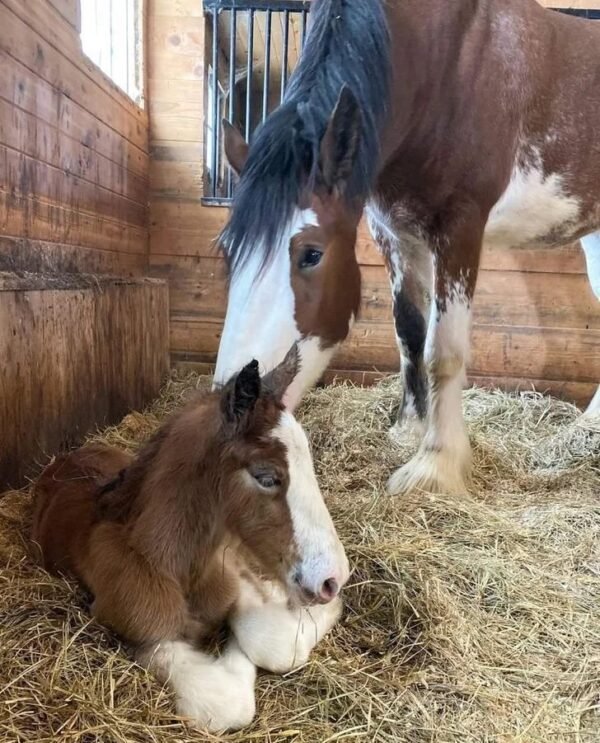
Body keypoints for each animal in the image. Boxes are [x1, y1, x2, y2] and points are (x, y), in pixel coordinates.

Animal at [31, 347, 349, 733]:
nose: (333, 579)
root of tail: (66, 457)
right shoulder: (144, 635)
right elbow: (227, 700)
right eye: (266, 477)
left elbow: (274, 643)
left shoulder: (232, 574)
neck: (165, 564)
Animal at [212, 0, 600, 496]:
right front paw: (408, 429)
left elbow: (443, 351)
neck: (441, 69)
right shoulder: (395, 233)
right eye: (228, 252)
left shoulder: (459, 228)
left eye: (311, 254)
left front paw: (435, 464)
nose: (234, 406)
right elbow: (410, 332)